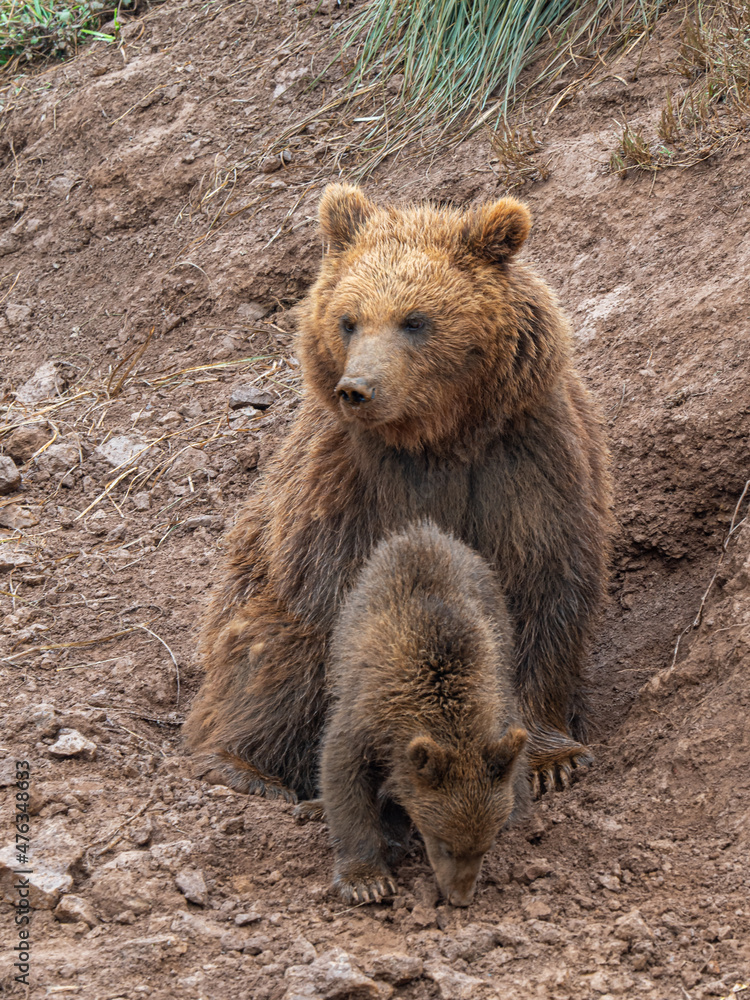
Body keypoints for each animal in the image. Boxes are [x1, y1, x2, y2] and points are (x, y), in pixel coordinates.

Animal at [184, 183, 613, 801]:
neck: (439, 439)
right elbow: (349, 601)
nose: (357, 389)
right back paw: (244, 767)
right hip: (252, 600)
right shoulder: (350, 483)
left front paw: (551, 759)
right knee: (276, 657)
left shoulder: (527, 460)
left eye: (415, 320)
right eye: (348, 320)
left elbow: (542, 589)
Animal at [317, 520, 529, 906]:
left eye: (484, 847)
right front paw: (365, 879)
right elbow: (342, 775)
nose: (459, 897)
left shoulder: (496, 699)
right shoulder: (364, 714)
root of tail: (422, 531)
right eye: (446, 845)